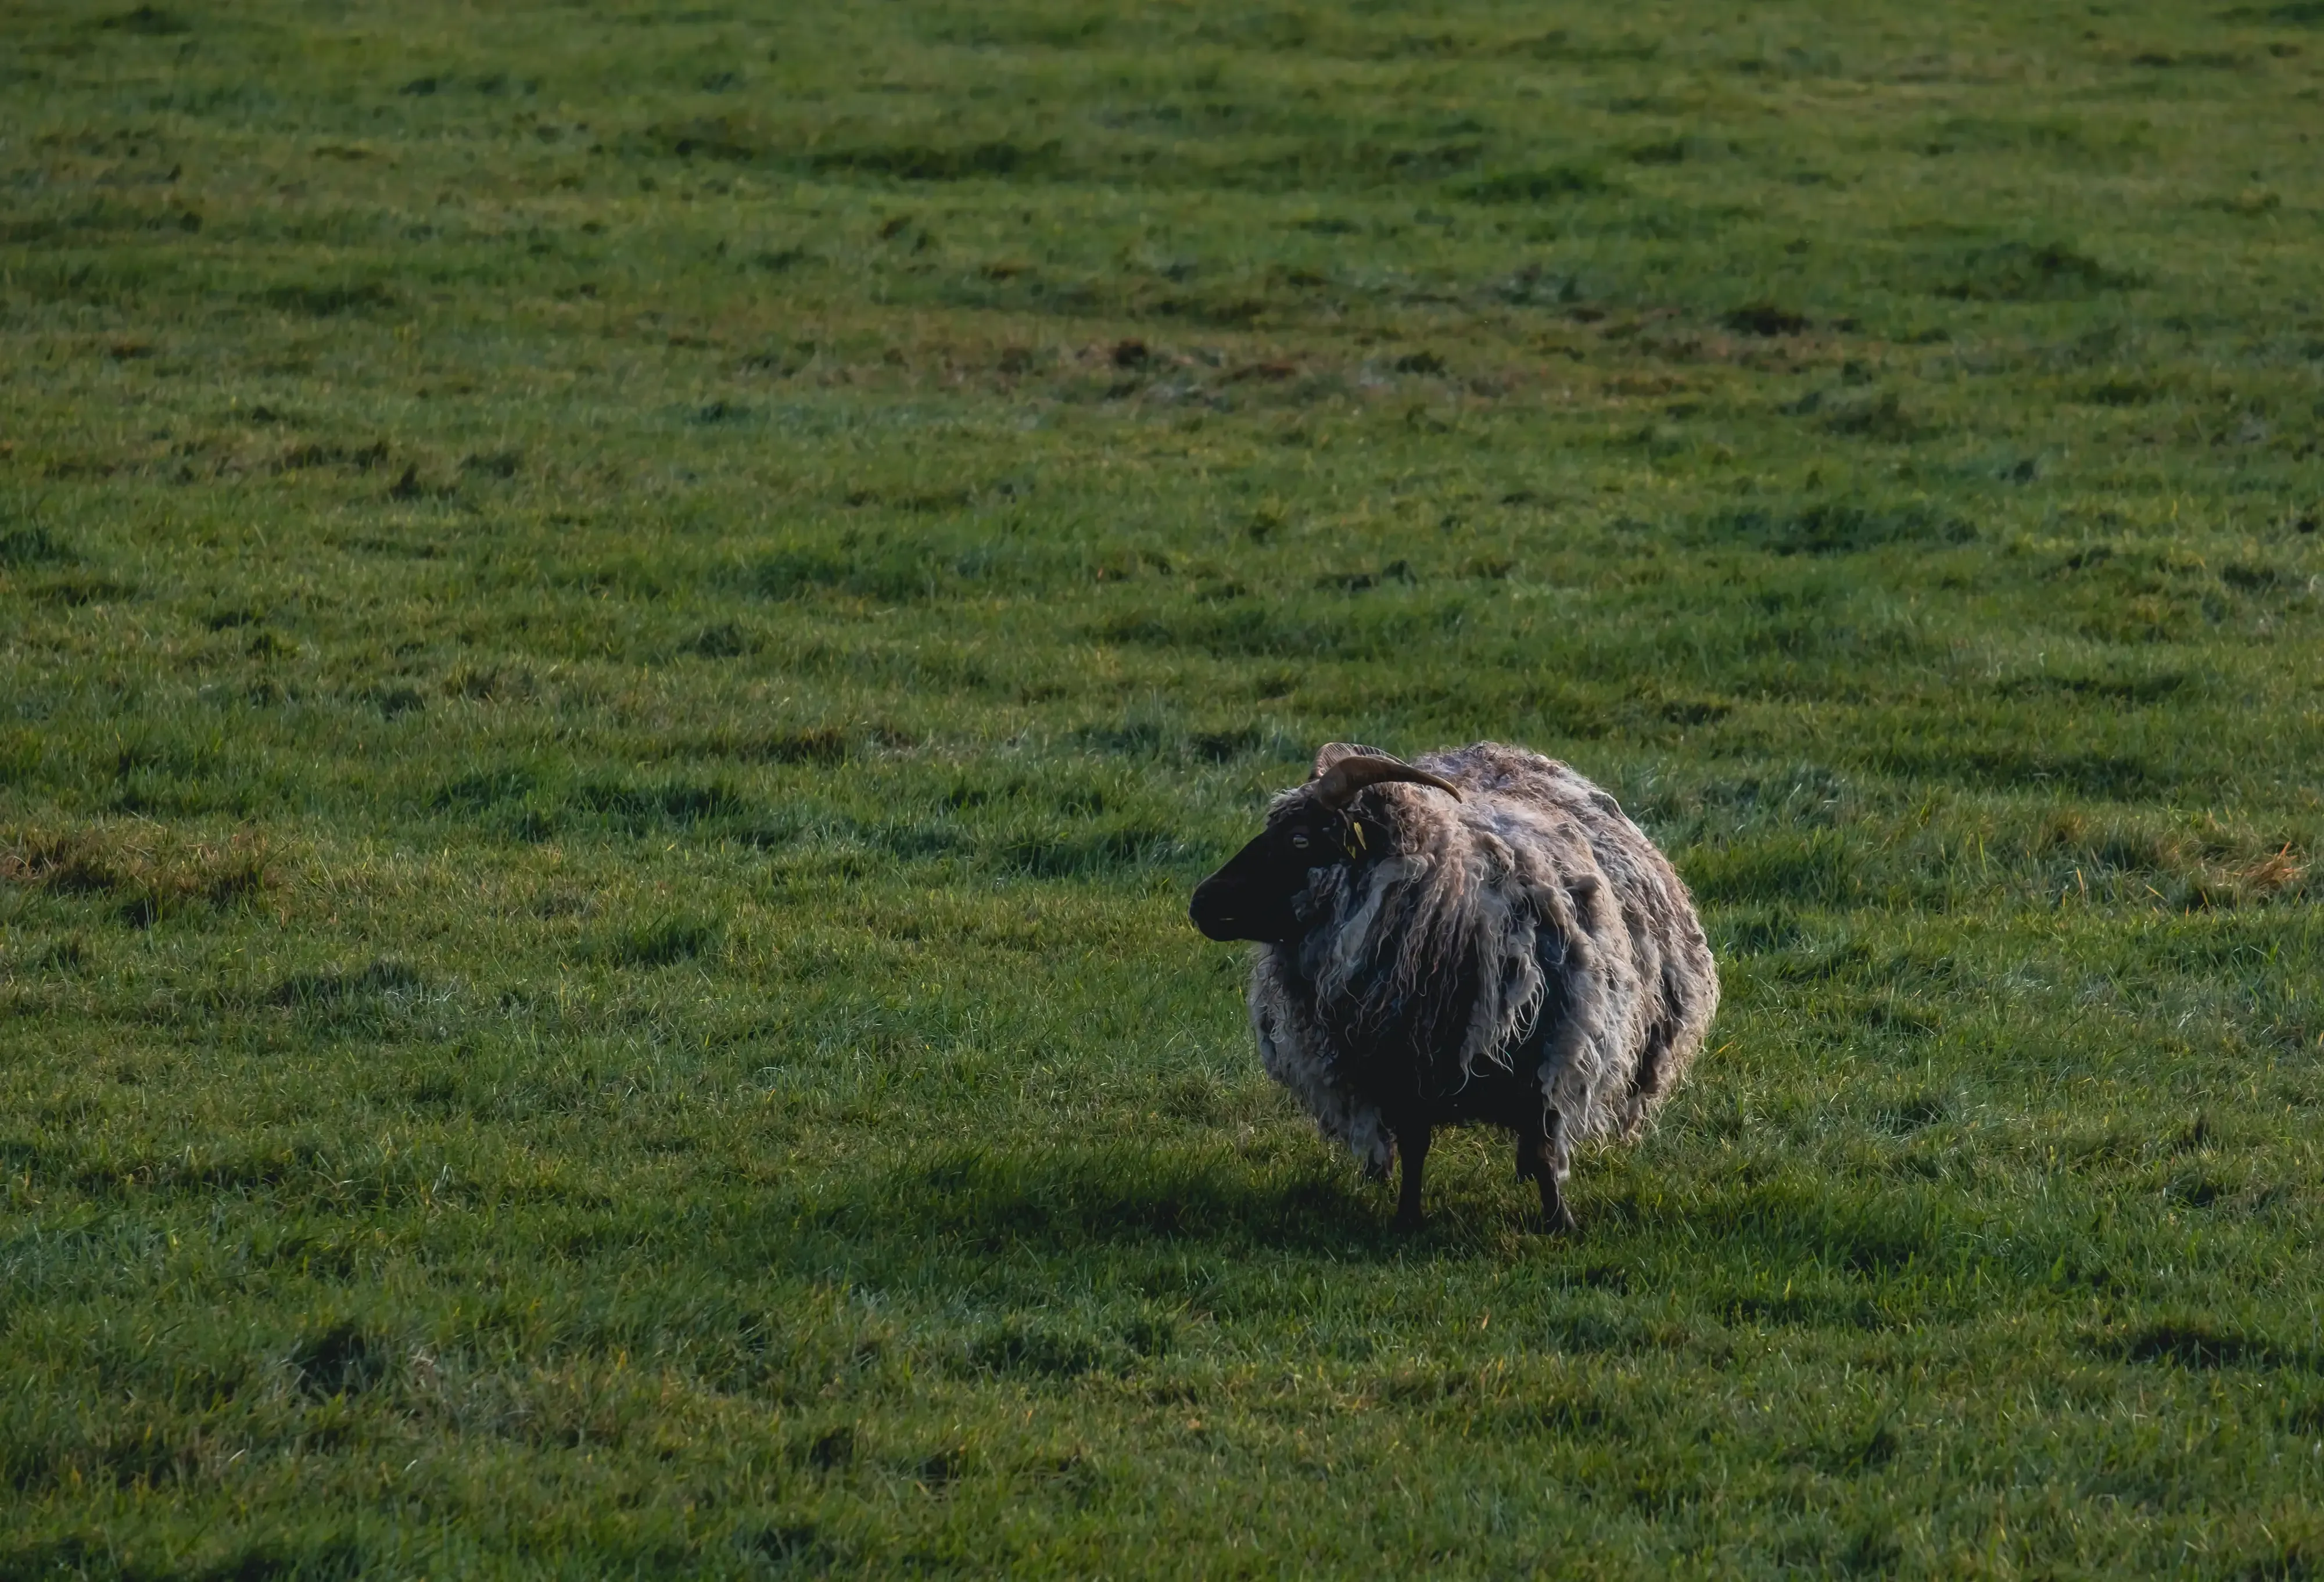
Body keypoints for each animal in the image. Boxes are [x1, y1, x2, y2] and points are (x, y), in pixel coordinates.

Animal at [1189, 741, 1718, 1231]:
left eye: (1299, 839)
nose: (1201, 901)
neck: (1449, 890)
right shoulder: (1401, 1062)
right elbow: (1415, 1143)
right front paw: (1407, 1218)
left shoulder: (1547, 1052)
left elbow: (1545, 1145)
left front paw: (1558, 1222)